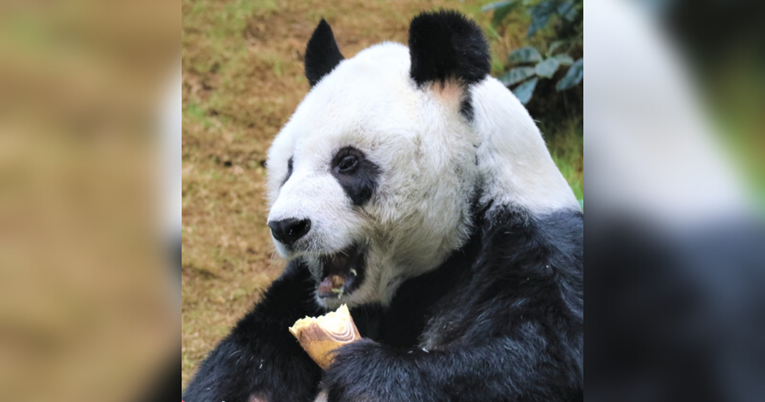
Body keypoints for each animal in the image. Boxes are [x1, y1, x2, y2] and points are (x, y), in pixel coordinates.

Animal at [182, 10, 580, 402]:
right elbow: (248, 359)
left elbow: (538, 362)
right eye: (289, 167)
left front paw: (364, 374)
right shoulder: (300, 296)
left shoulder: (529, 251)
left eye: (347, 162)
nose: (287, 227)